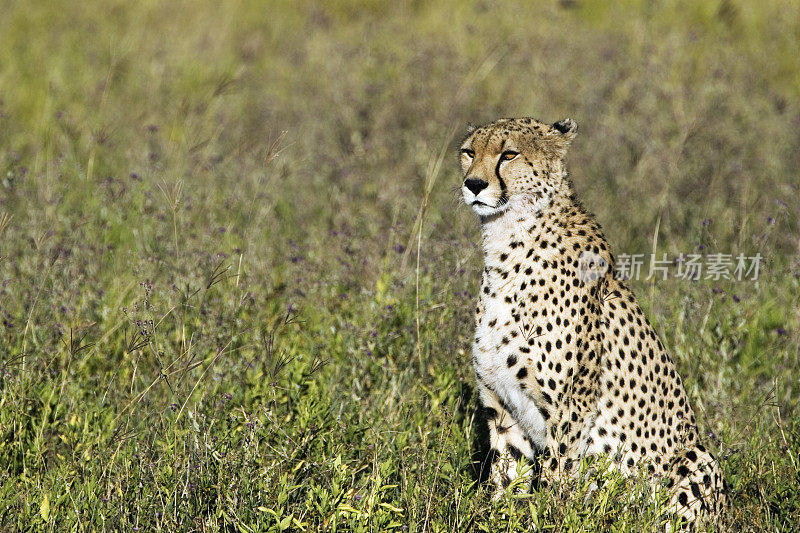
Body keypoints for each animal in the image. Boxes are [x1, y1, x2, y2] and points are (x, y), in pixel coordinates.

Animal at [460, 117, 728, 528]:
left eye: (509, 154)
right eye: (468, 152)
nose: (473, 184)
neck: (507, 244)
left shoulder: (568, 411)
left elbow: (554, 479)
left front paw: (549, 518)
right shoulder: (502, 406)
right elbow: (507, 482)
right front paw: (496, 518)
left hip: (694, 455)